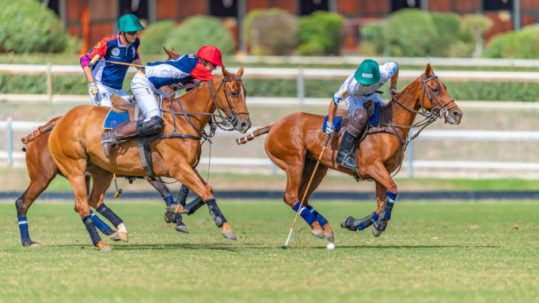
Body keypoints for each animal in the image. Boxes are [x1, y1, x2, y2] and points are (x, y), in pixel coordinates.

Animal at [48, 67, 251, 252]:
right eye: (233, 93)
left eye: (245, 93)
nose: (245, 124)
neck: (183, 120)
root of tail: (60, 121)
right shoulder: (178, 168)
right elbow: (205, 192)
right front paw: (225, 226)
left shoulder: (187, 167)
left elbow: (206, 189)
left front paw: (174, 211)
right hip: (75, 169)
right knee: (82, 206)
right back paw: (101, 243)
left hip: (102, 171)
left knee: (95, 200)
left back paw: (120, 231)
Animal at [236, 64, 464, 245]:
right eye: (435, 88)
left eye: (445, 87)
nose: (457, 114)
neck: (390, 123)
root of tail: (274, 125)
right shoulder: (372, 167)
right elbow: (392, 190)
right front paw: (378, 224)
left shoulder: (381, 172)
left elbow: (382, 204)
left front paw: (356, 223)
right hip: (294, 163)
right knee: (291, 196)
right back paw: (320, 228)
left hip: (315, 168)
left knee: (302, 198)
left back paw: (323, 228)